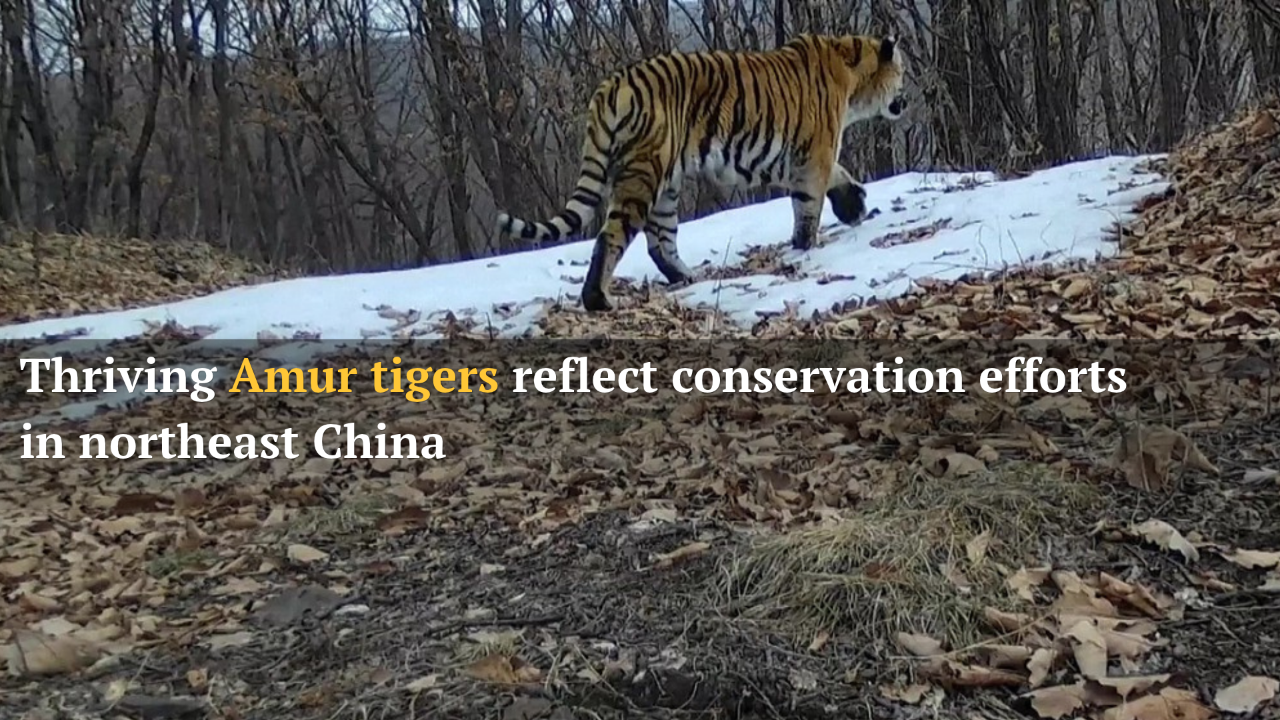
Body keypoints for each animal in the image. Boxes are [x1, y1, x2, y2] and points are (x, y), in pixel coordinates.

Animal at [495, 32, 908, 312]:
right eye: (902, 74)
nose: (905, 99)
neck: (854, 77)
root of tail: (612, 85)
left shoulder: (796, 159)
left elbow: (838, 175)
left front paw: (854, 205)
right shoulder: (812, 155)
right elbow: (808, 206)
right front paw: (806, 246)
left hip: (666, 186)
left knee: (660, 241)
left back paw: (687, 278)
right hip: (644, 175)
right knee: (612, 236)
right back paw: (598, 299)